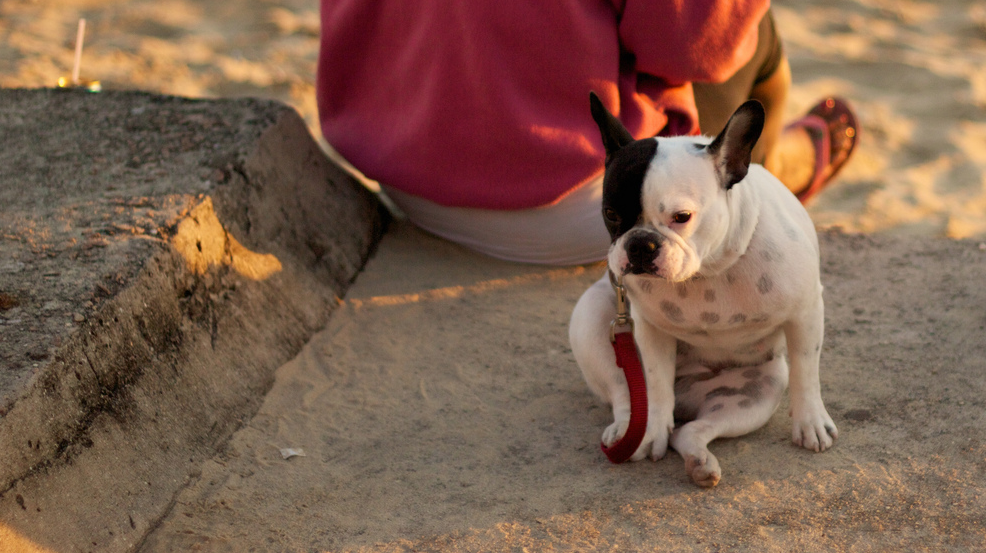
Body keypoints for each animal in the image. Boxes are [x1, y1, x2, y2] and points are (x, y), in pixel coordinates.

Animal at [568, 92, 836, 486]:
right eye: (611, 214)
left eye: (682, 217)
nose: (641, 244)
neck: (706, 271)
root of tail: (687, 399)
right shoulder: (649, 331)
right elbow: (655, 383)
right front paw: (651, 433)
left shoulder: (805, 312)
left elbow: (806, 369)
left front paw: (811, 422)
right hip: (591, 322)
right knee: (626, 396)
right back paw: (631, 432)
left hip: (757, 391)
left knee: (690, 431)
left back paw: (699, 461)